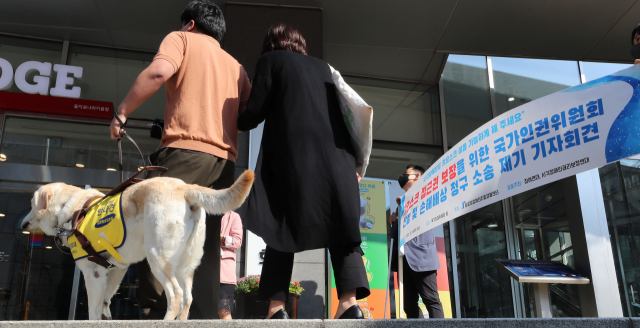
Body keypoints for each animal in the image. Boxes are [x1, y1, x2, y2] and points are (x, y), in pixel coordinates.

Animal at [20, 172, 255, 320]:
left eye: (31, 204)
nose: (22, 224)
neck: (72, 209)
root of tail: (184, 187)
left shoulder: (93, 272)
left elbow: (93, 308)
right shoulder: (116, 269)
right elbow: (105, 300)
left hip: (157, 257)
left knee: (175, 294)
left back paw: (165, 321)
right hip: (186, 264)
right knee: (187, 297)